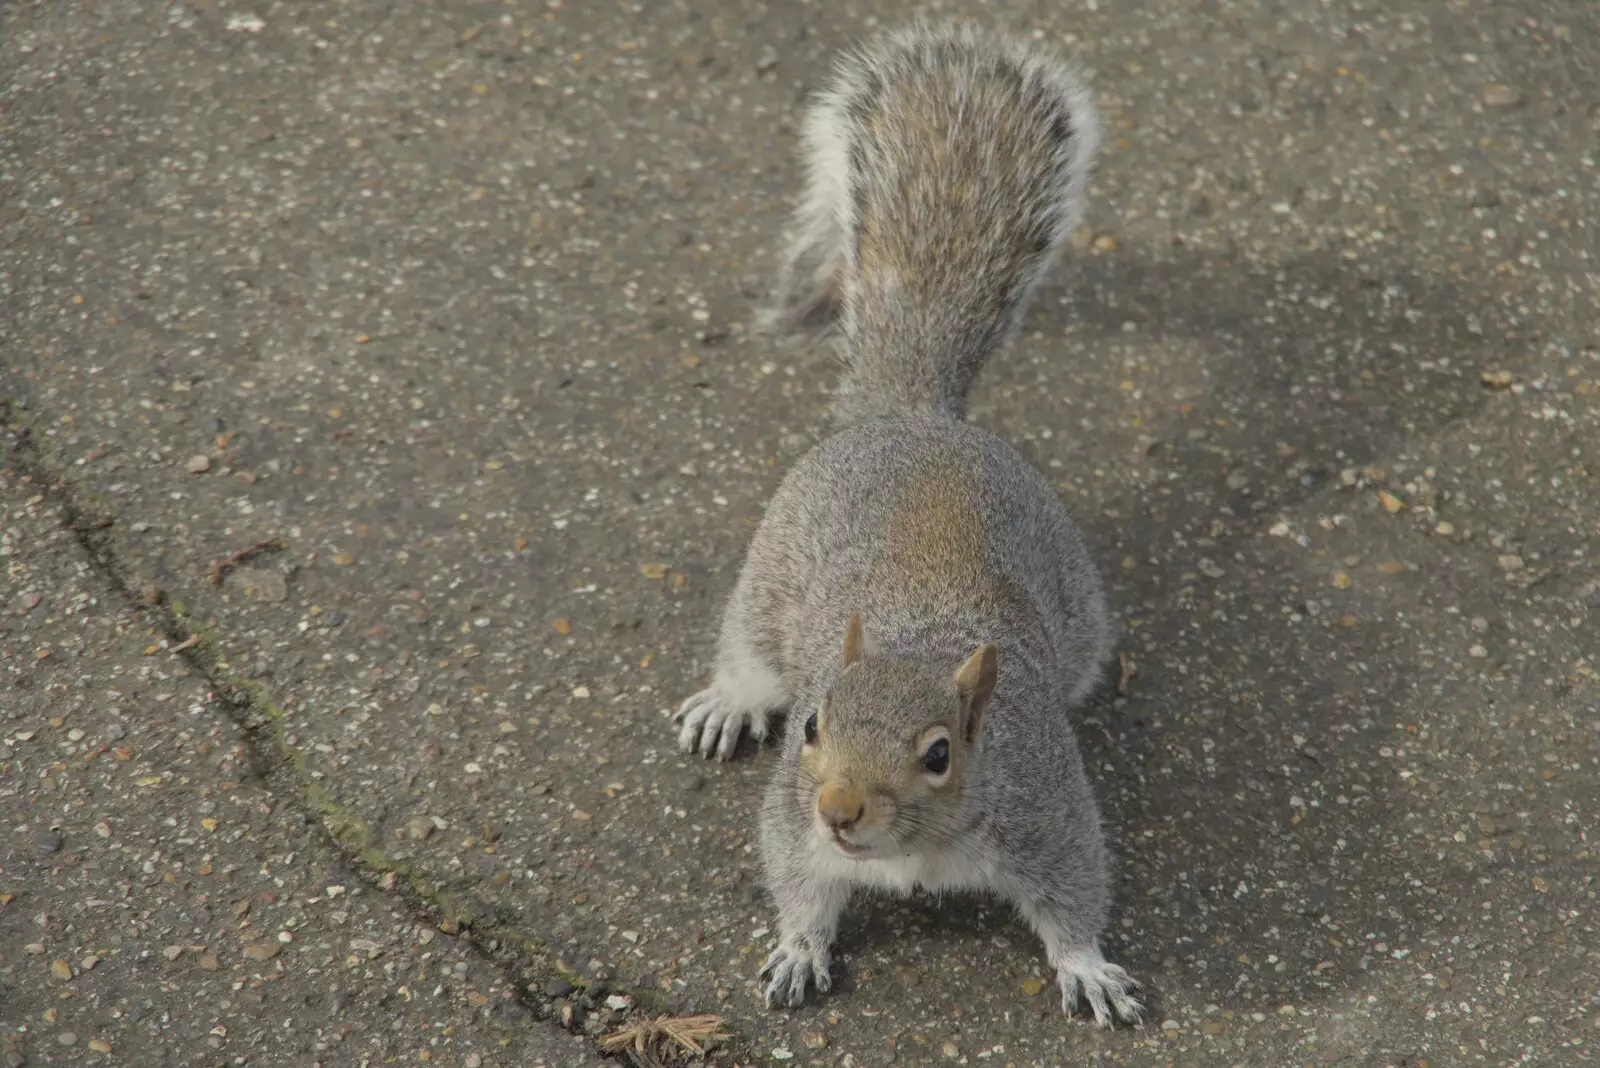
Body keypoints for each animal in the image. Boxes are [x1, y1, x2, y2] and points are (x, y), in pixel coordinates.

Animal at [668, 22, 1145, 1023]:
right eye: (813, 726)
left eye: (937, 753)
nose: (840, 810)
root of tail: (913, 415)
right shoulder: (792, 820)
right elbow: (796, 879)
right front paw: (798, 949)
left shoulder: (1049, 816)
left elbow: (1077, 897)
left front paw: (1088, 967)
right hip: (767, 581)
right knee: (744, 649)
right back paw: (728, 701)